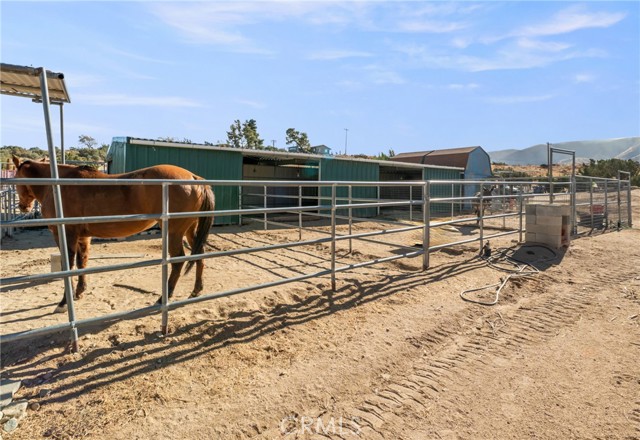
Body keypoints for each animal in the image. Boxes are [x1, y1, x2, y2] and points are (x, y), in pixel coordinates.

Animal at [11, 156, 215, 314]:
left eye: (15, 180)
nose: (23, 207)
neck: (57, 186)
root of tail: (193, 177)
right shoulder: (83, 237)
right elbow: (82, 263)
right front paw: (79, 292)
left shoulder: (65, 234)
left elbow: (68, 266)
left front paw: (63, 303)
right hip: (189, 230)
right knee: (199, 254)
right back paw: (196, 290)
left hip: (174, 231)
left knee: (178, 260)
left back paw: (164, 297)